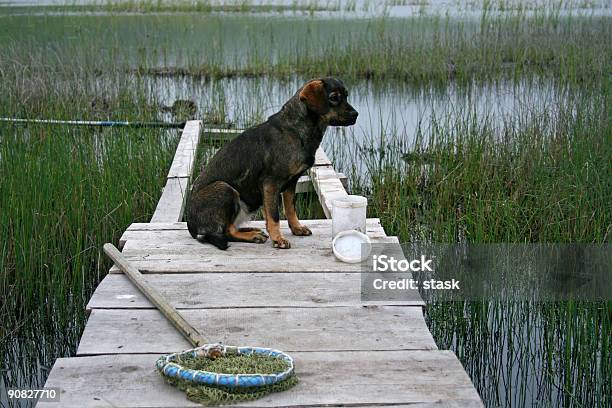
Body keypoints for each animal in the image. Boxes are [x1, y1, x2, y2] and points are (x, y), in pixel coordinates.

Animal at [186, 76, 358, 249]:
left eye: (346, 95)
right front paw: (278, 239)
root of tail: (192, 228)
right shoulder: (271, 183)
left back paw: (252, 230)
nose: (356, 114)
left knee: (229, 228)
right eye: (334, 98)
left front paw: (296, 228)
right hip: (224, 189)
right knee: (227, 231)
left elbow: (289, 209)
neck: (296, 130)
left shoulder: (291, 184)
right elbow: (274, 216)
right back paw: (253, 236)